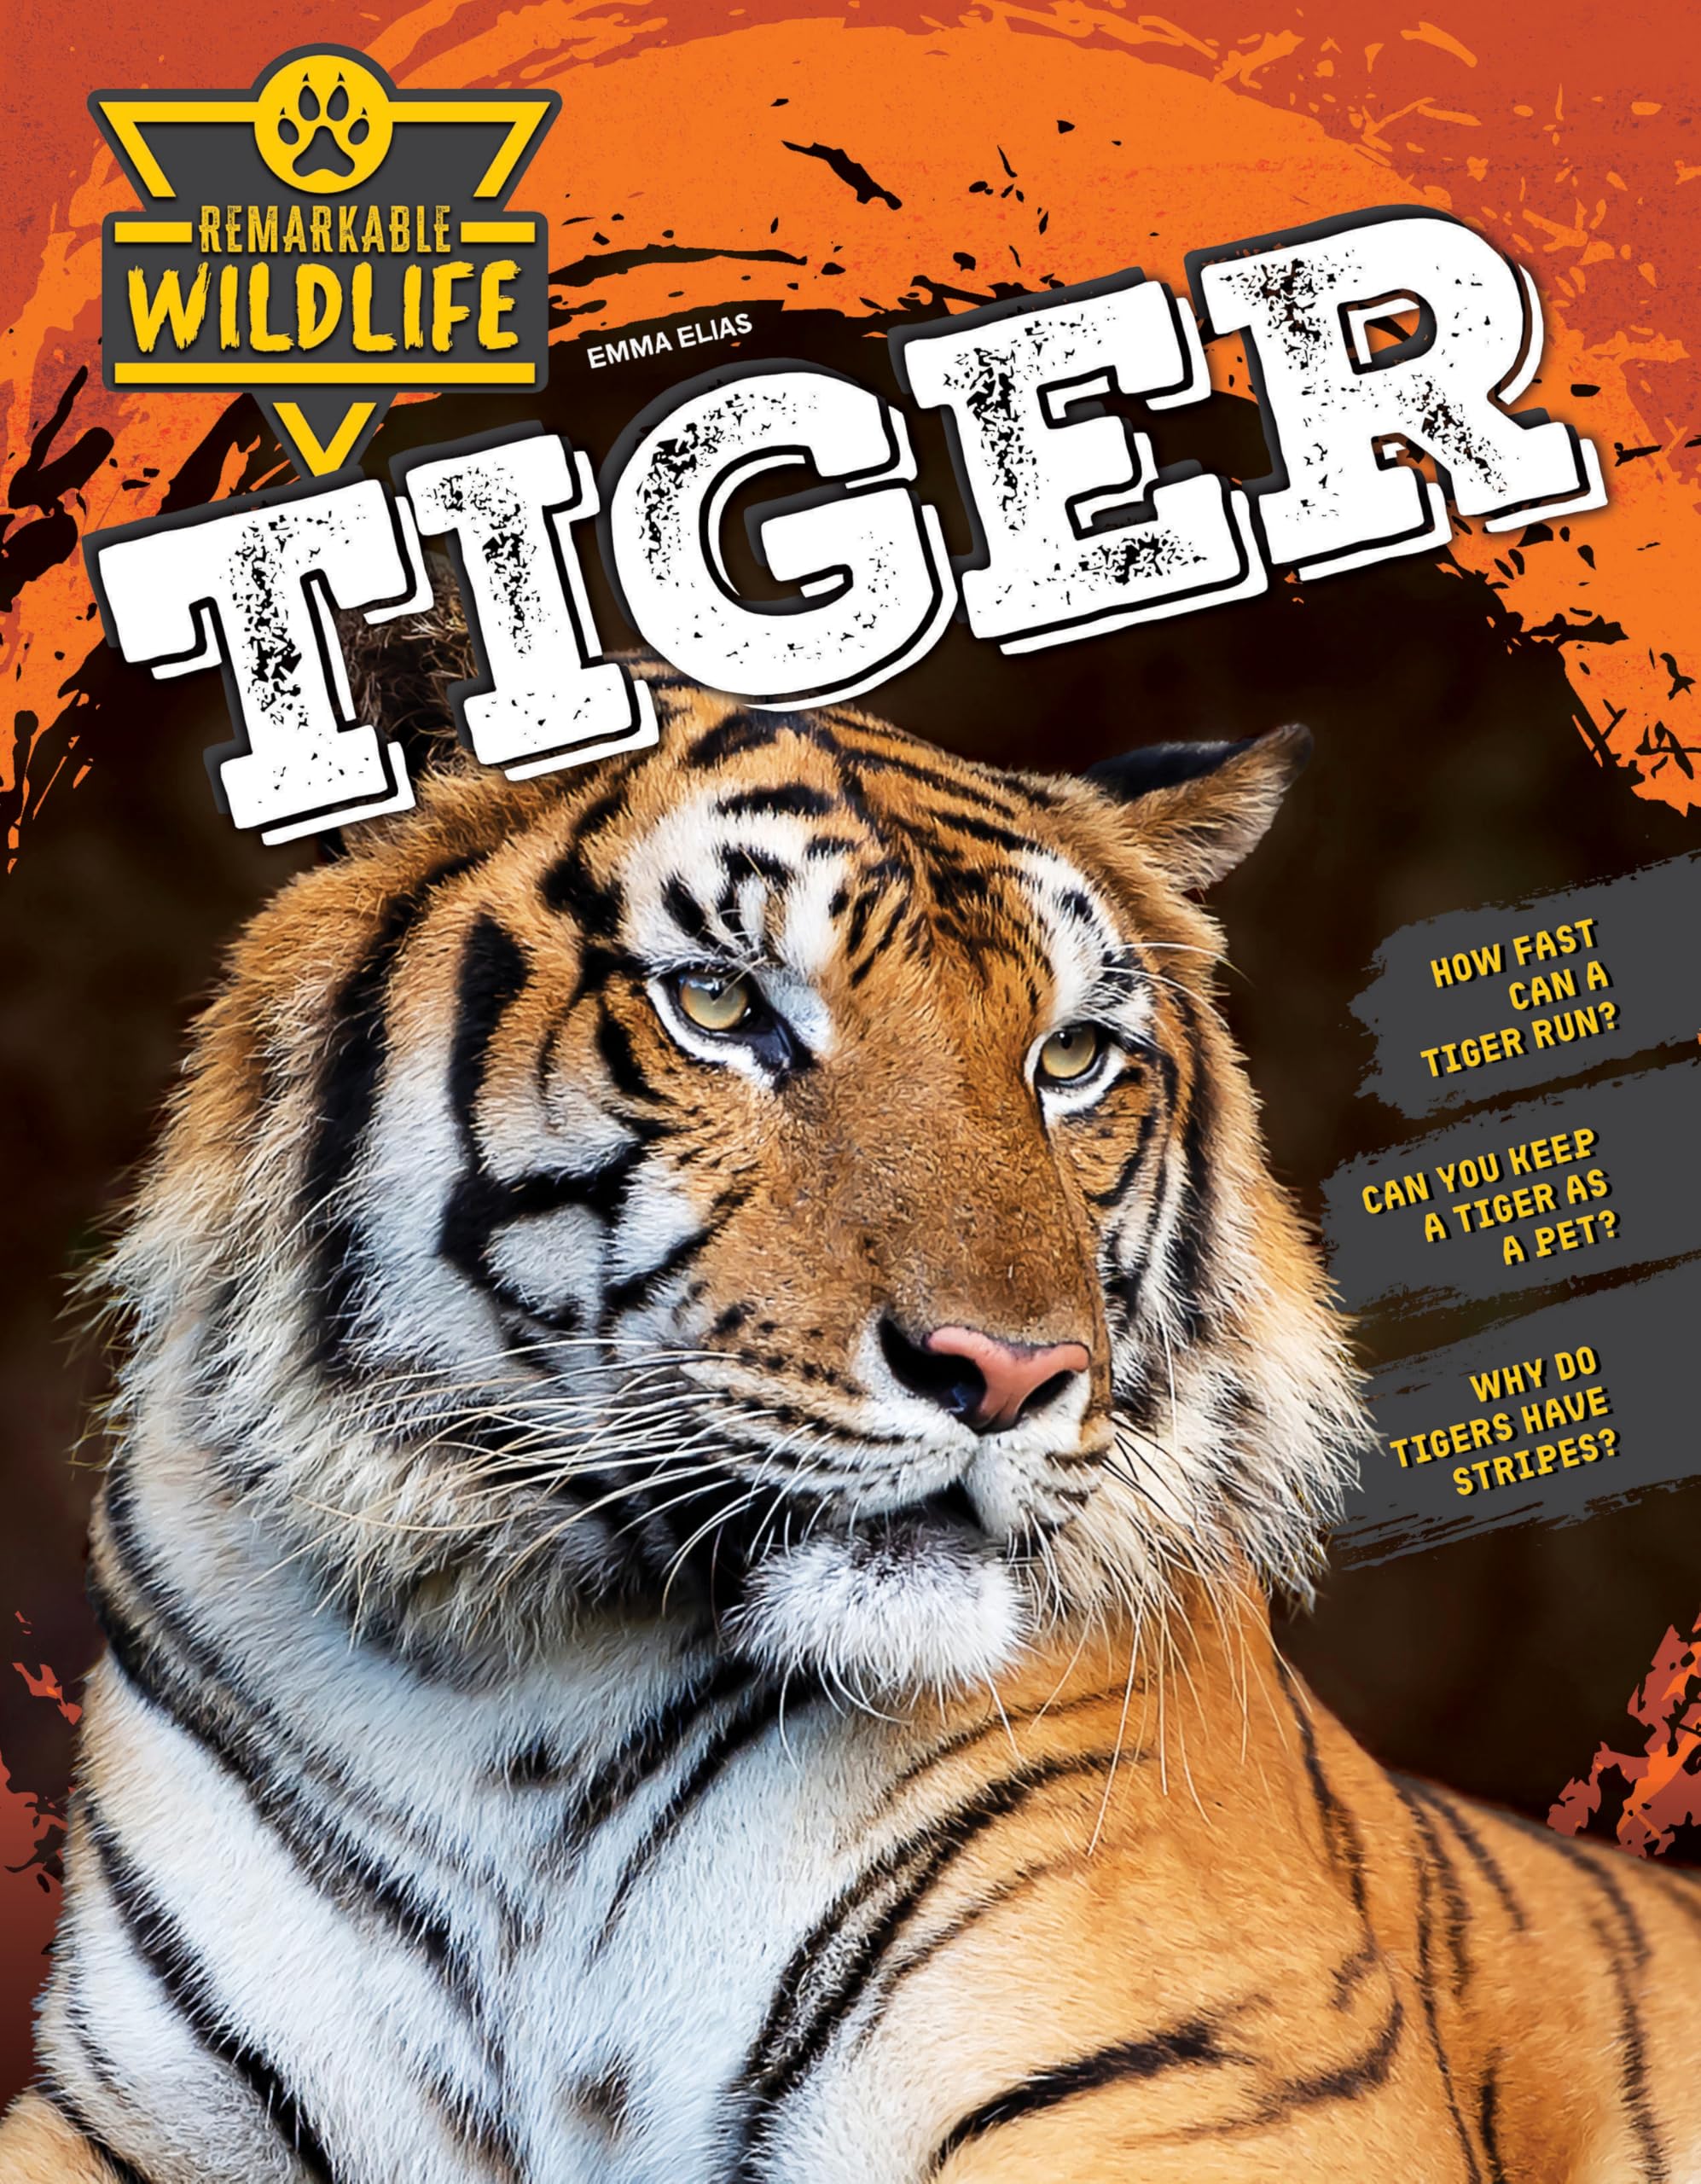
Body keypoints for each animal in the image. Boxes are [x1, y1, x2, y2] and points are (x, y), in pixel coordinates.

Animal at [4, 659, 1699, 2184]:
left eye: (1069, 1057)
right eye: (720, 1004)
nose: (1006, 1375)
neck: (520, 1701)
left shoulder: (1203, 2082)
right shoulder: (126, 2109)